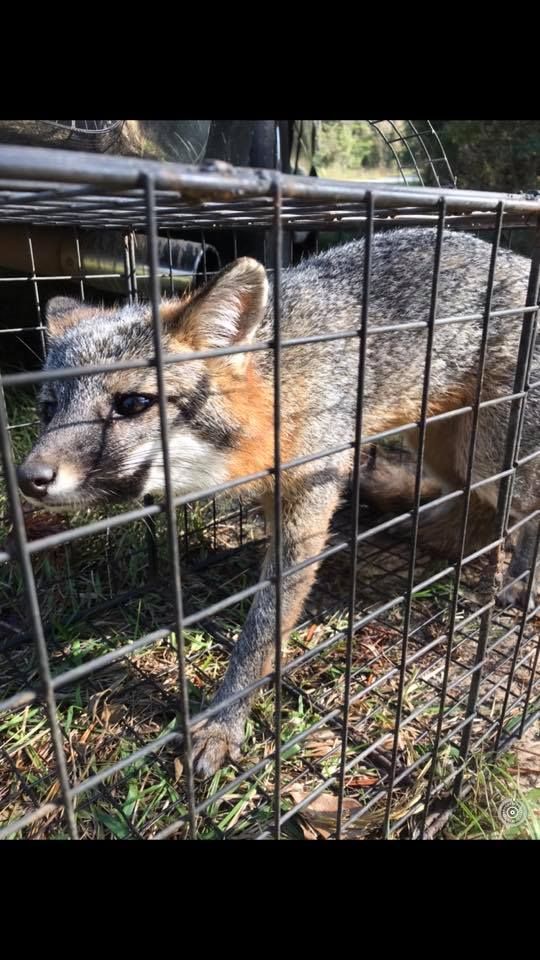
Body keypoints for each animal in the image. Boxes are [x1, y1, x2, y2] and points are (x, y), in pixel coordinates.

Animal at [16, 228, 540, 777]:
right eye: (49, 410)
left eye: (132, 404)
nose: (28, 478)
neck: (279, 390)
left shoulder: (306, 510)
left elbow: (261, 630)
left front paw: (224, 722)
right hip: (443, 444)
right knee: (474, 508)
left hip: (489, 453)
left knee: (523, 509)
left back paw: (519, 578)